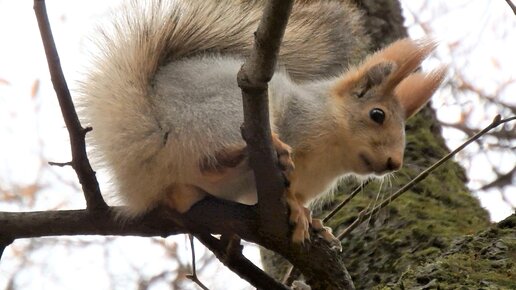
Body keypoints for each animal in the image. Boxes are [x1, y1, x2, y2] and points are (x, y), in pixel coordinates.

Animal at [78, 0, 446, 245]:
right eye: (377, 115)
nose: (394, 162)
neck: (333, 155)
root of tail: (149, 135)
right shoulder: (298, 116)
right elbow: (285, 193)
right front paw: (297, 209)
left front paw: (313, 221)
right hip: (221, 114)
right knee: (212, 157)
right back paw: (249, 152)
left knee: (181, 194)